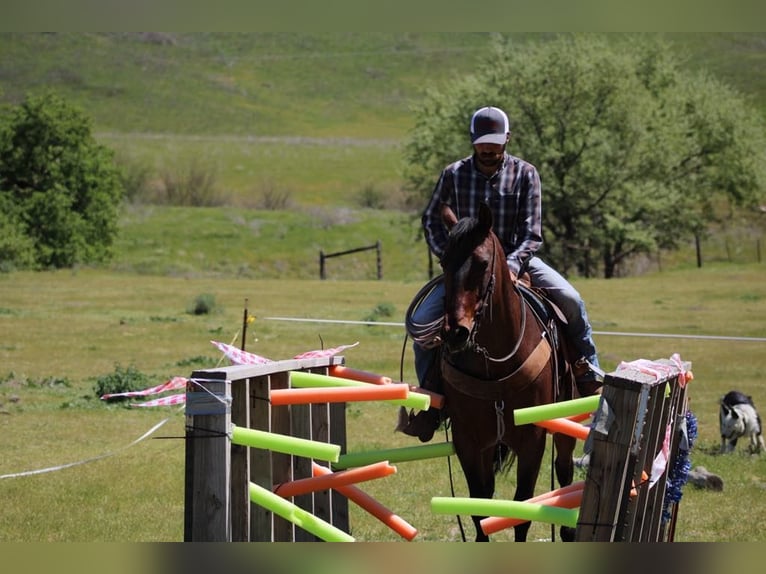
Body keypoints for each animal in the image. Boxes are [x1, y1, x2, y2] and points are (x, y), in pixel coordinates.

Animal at [438, 202, 578, 542]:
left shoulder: (532, 440)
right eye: (443, 261)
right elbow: (479, 508)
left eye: (481, 263)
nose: (455, 333)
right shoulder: (469, 442)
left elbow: (522, 510)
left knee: (565, 469)